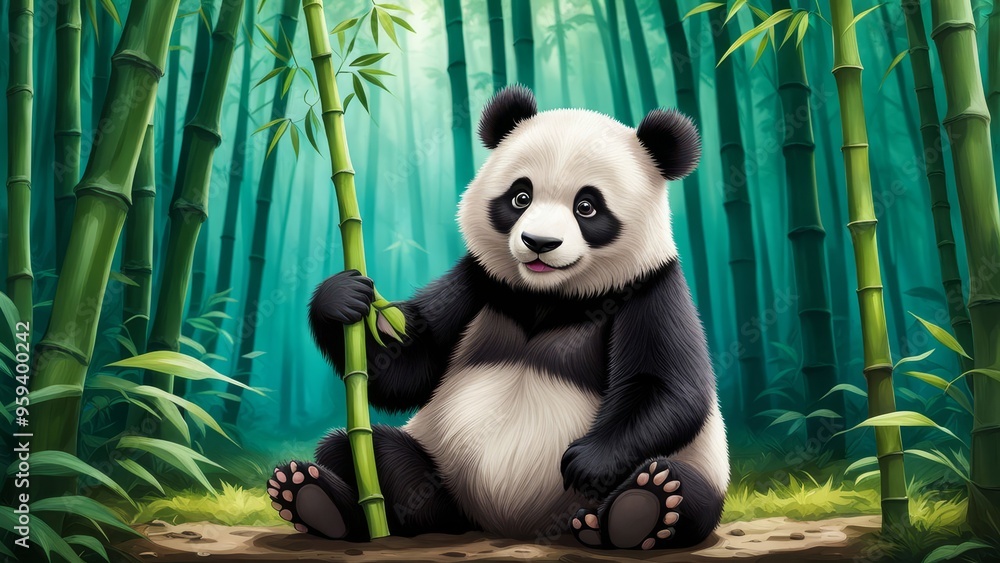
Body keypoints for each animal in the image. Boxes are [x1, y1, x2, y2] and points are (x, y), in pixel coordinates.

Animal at [268, 85, 728, 551]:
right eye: (520, 196)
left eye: (587, 206)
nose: (539, 242)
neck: (548, 296)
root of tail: (506, 526)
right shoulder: (479, 281)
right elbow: (405, 370)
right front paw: (342, 298)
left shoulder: (650, 288)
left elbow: (668, 386)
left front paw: (587, 462)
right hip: (440, 468)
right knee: (360, 452)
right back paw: (316, 499)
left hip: (695, 470)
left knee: (683, 487)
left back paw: (638, 511)